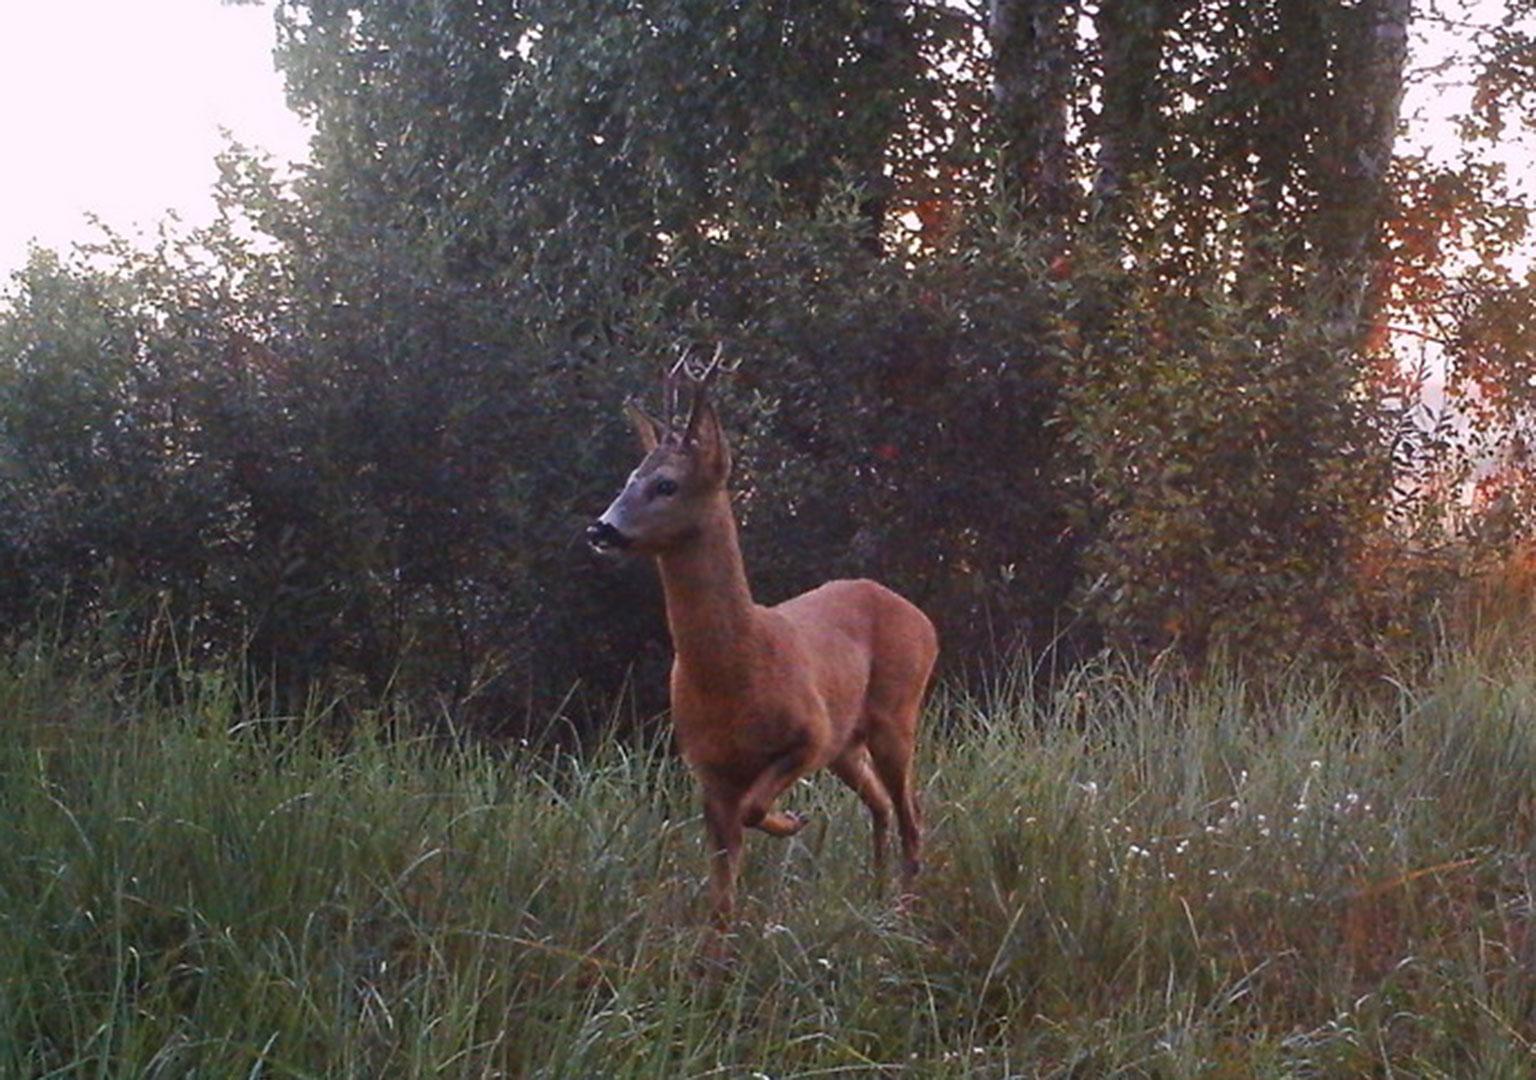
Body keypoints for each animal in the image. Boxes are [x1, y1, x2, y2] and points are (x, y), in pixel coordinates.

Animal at [580, 354, 927, 940]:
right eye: (630, 478)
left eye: (667, 484)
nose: (602, 529)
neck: (732, 671)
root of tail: (921, 616)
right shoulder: (709, 768)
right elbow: (721, 899)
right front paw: (718, 955)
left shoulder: (811, 734)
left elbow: (753, 809)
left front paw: (793, 821)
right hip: (850, 744)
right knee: (881, 806)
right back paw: (878, 898)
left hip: (894, 714)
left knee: (911, 817)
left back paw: (904, 914)